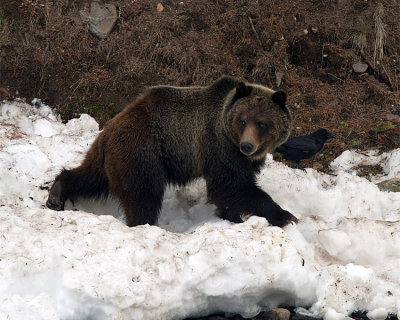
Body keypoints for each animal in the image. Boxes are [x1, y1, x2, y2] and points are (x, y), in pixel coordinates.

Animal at [47, 76, 296, 228]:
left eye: (262, 123)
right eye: (243, 120)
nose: (247, 146)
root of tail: (109, 129)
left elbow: (230, 190)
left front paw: (231, 215)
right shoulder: (219, 147)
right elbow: (232, 186)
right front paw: (285, 215)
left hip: (107, 158)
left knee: (91, 177)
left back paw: (57, 193)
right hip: (141, 155)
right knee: (143, 196)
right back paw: (143, 225)